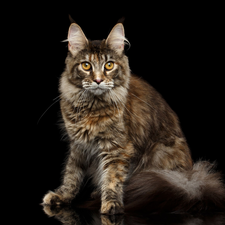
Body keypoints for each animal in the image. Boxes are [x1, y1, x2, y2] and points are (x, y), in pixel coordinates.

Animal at [42, 21, 225, 214]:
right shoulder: (78, 145)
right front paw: (61, 196)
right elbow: (72, 175)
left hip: (159, 153)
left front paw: (111, 204)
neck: (92, 107)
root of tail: (189, 181)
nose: (98, 80)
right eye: (86, 66)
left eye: (109, 65)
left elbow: (112, 177)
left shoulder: (117, 147)